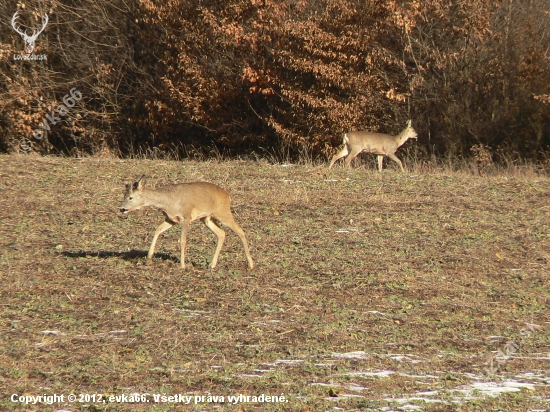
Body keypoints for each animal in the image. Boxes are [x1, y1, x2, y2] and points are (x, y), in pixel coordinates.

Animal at [121, 175, 254, 268]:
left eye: (130, 197)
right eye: (124, 196)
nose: (122, 209)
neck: (167, 202)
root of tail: (228, 196)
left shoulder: (186, 217)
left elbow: (183, 241)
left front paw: (182, 265)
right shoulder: (171, 219)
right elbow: (157, 230)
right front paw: (149, 257)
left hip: (223, 212)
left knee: (240, 231)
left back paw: (251, 264)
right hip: (206, 218)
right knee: (221, 233)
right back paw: (212, 264)